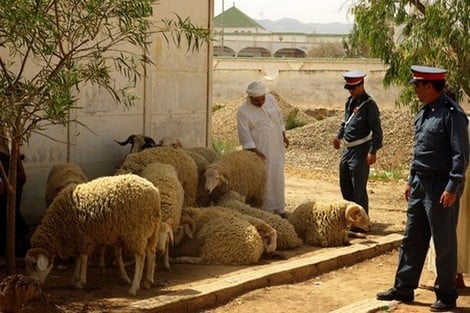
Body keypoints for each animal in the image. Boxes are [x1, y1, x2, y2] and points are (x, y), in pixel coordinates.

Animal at [24, 173, 162, 294]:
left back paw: (134, 288)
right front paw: (74, 278)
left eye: (34, 265)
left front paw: (80, 281)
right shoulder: (76, 238)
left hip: (136, 231)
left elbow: (83, 257)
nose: (34, 284)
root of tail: (155, 194)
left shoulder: (83, 237)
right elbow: (78, 258)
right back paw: (148, 281)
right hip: (151, 230)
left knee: (140, 257)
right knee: (151, 252)